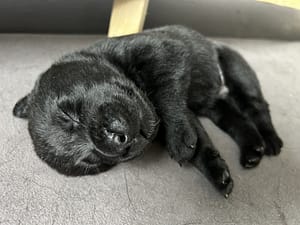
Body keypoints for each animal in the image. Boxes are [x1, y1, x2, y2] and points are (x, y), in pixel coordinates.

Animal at [12, 25, 284, 197]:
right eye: (92, 161)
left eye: (69, 113)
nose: (119, 142)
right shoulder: (187, 115)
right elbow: (199, 144)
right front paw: (217, 174)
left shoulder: (164, 51)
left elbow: (165, 91)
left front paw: (178, 138)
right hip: (216, 106)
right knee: (236, 120)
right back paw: (252, 150)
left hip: (236, 68)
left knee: (256, 107)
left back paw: (271, 141)